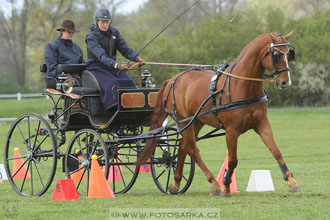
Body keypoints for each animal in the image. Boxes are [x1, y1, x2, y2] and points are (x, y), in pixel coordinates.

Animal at [135, 31, 300, 196]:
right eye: (276, 55)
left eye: (289, 54)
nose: (285, 82)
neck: (241, 85)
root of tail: (173, 79)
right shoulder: (231, 130)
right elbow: (233, 160)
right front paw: (226, 184)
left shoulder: (262, 124)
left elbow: (276, 151)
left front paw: (291, 181)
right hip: (183, 121)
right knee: (193, 150)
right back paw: (214, 183)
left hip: (196, 121)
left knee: (183, 146)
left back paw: (175, 184)